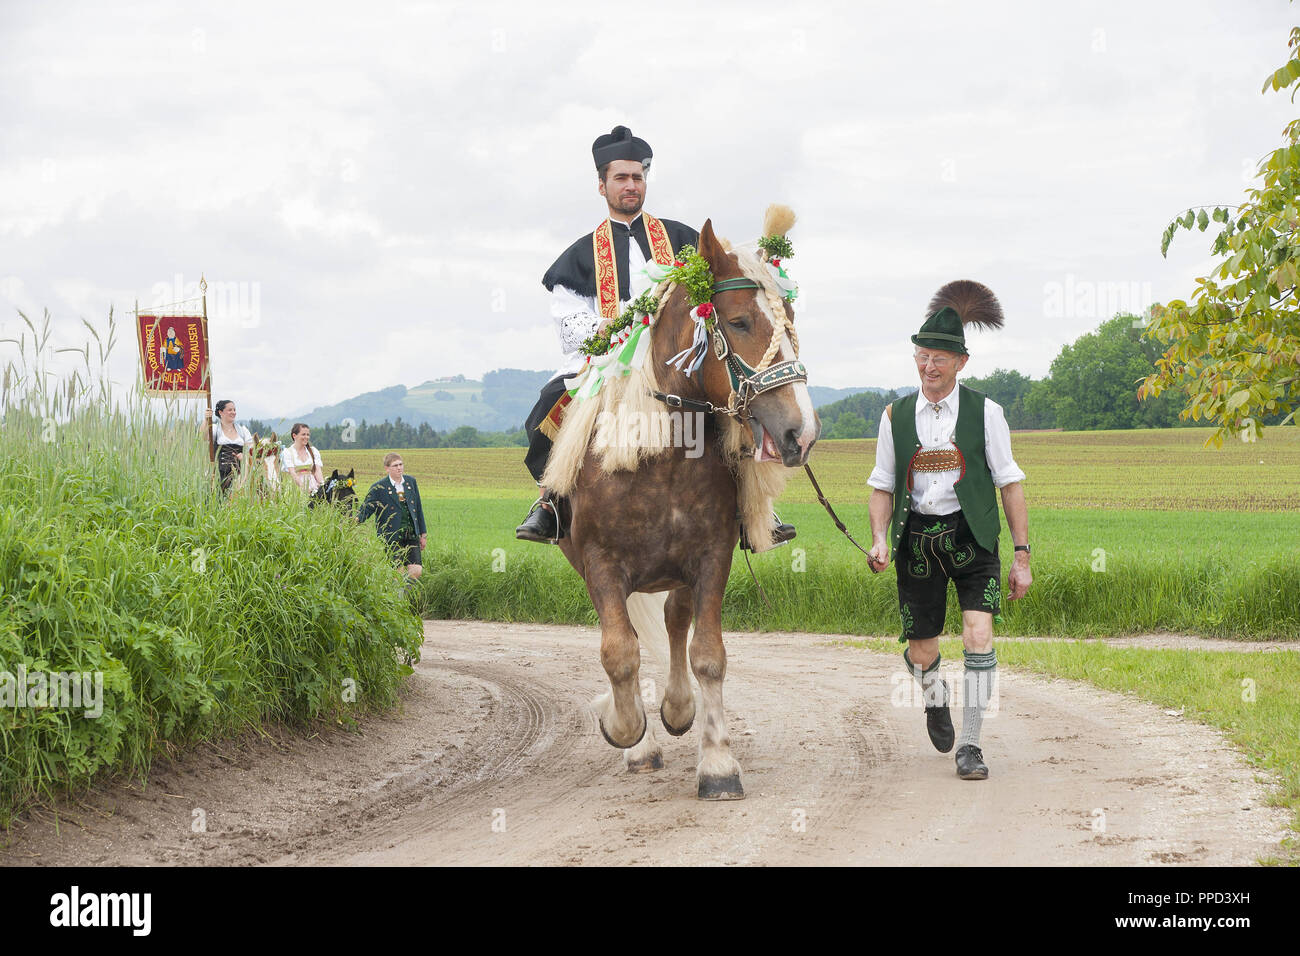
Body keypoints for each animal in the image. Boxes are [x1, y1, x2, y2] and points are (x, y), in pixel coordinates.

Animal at [543, 210, 816, 801]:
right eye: (739, 322)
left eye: (789, 321)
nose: (801, 433)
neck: (661, 454)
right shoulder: (600, 562)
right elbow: (618, 652)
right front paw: (624, 728)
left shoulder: (710, 556)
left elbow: (707, 655)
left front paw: (716, 762)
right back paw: (642, 743)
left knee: (672, 621)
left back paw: (676, 708)